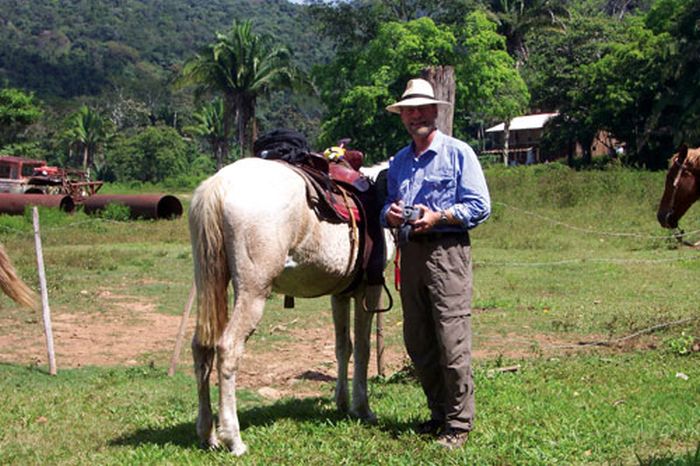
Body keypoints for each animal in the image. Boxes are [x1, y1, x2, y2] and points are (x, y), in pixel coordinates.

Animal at [189, 157, 394, 456]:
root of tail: (220, 184)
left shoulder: (340, 295)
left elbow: (343, 347)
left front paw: (342, 402)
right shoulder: (368, 289)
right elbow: (363, 350)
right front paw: (362, 408)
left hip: (208, 281)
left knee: (201, 348)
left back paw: (208, 434)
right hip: (253, 293)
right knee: (227, 348)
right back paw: (233, 439)